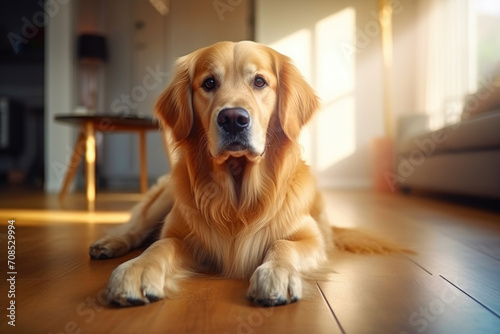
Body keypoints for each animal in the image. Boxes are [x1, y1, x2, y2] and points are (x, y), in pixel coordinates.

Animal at [90, 40, 406, 306]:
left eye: (259, 81)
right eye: (208, 83)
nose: (233, 118)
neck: (238, 195)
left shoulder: (310, 237)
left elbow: (283, 244)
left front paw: (277, 273)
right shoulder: (182, 234)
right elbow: (161, 244)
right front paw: (137, 269)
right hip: (167, 197)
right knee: (137, 226)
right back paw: (110, 243)